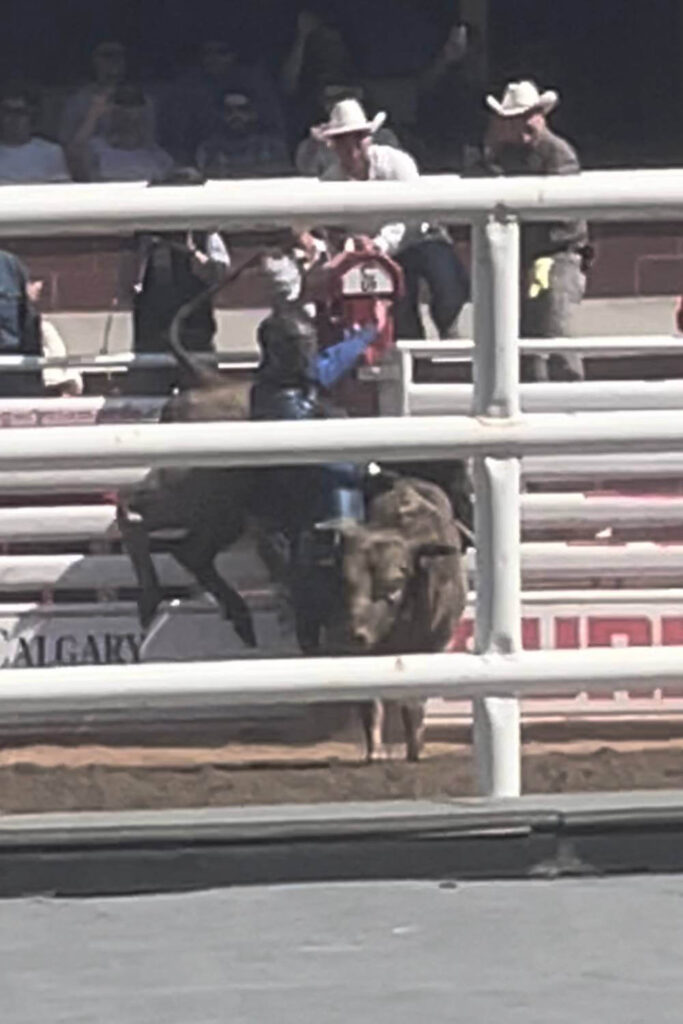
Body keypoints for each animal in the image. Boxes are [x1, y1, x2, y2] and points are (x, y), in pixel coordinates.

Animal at [116, 270, 471, 761]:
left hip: (219, 514)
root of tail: (202, 383)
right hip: (190, 491)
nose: (469, 522)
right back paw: (152, 596)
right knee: (132, 508)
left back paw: (237, 615)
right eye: (462, 478)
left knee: (190, 551)